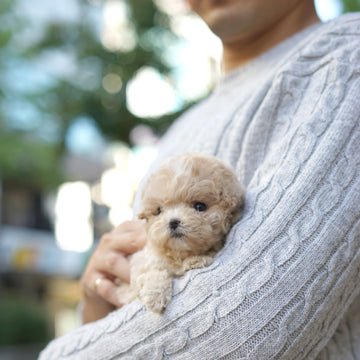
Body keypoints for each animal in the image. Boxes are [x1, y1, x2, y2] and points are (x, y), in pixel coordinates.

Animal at [117, 152, 245, 312]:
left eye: (200, 206)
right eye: (159, 211)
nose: (173, 222)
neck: (180, 253)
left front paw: (196, 260)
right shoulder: (143, 260)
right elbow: (151, 271)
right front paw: (155, 295)